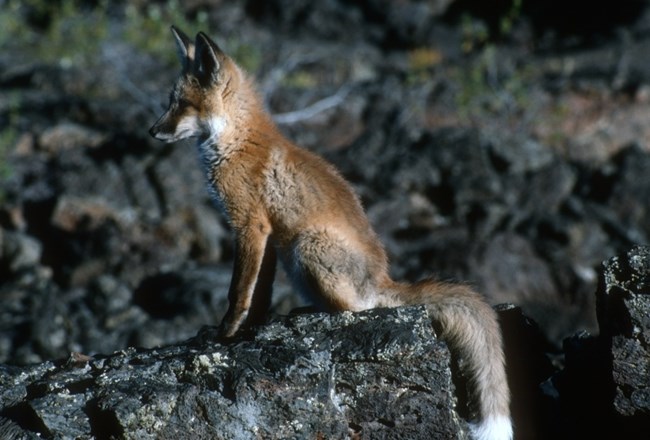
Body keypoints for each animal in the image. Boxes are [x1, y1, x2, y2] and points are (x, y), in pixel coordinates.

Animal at [148, 27, 512, 440]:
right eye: (171, 102)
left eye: (184, 104)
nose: (152, 131)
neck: (235, 141)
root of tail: (382, 279)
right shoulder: (267, 237)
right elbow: (260, 295)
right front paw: (250, 330)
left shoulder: (249, 225)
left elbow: (238, 292)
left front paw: (223, 335)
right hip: (292, 255)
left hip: (305, 246)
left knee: (358, 310)